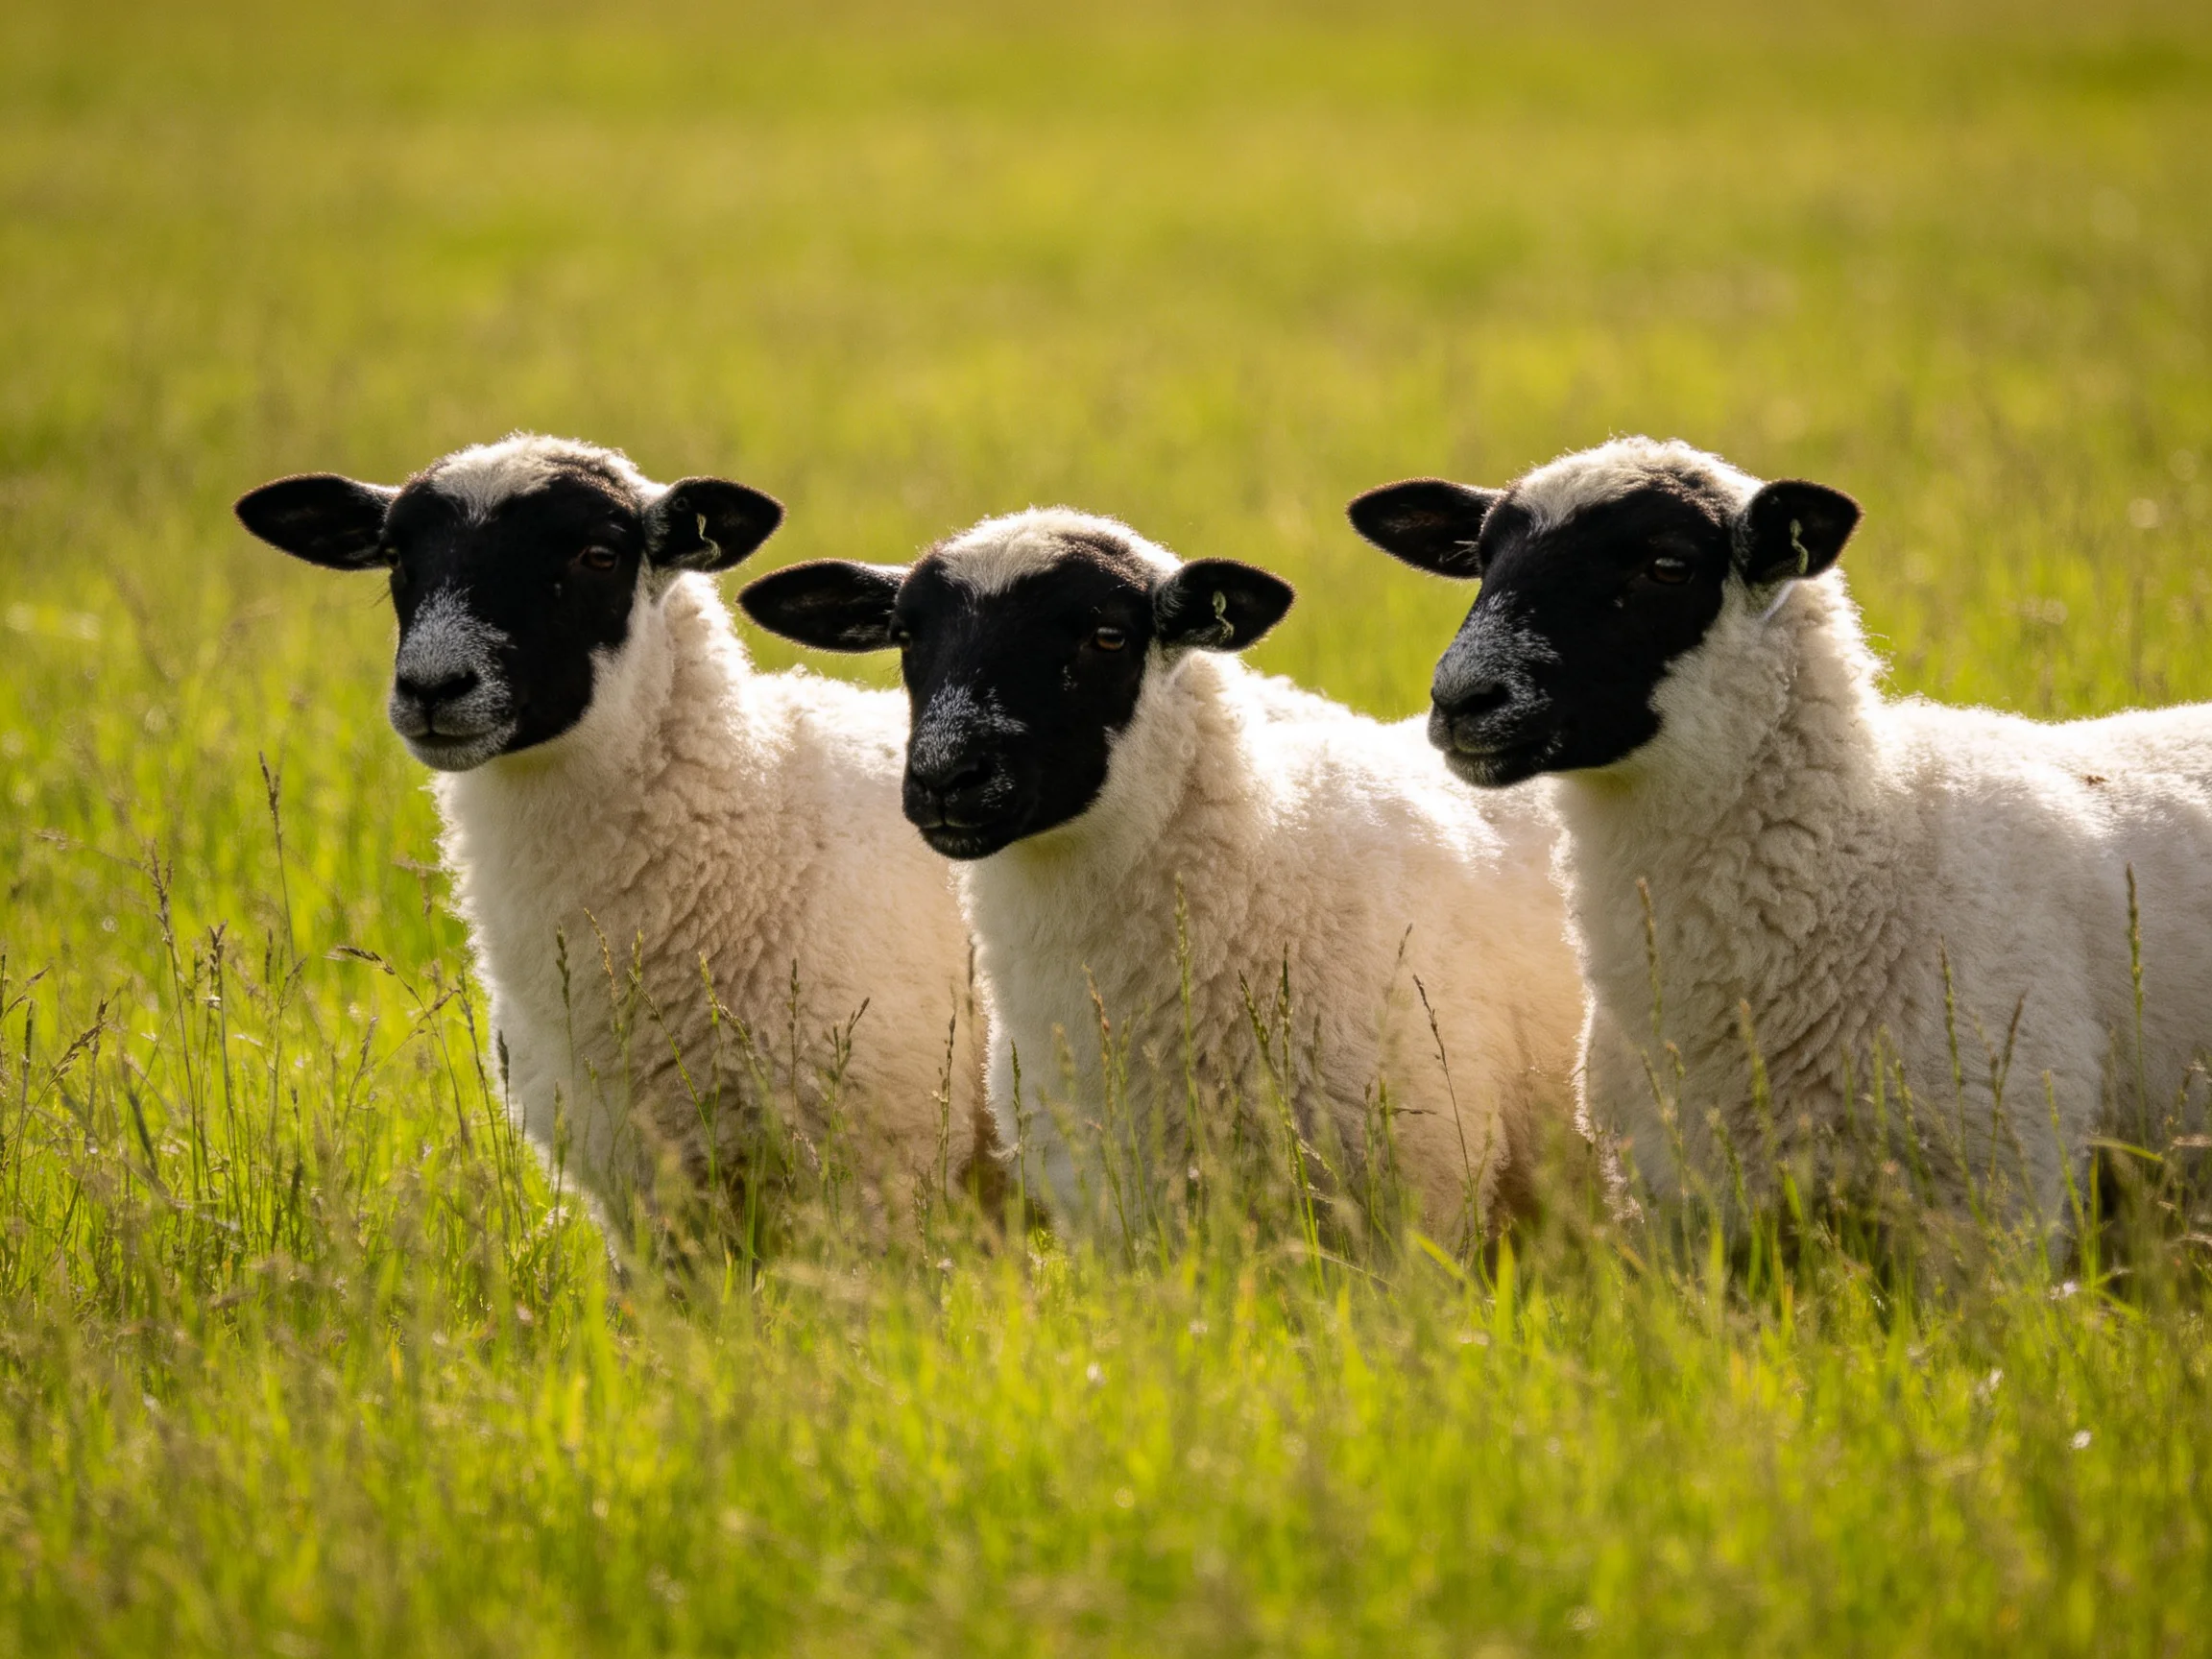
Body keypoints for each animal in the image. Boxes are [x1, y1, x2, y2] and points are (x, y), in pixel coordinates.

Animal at [1349, 436, 2212, 1233]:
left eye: (1667, 566)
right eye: (1484, 560)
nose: (1462, 699)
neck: (1873, 862)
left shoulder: (1995, 1201)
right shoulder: (1677, 1212)